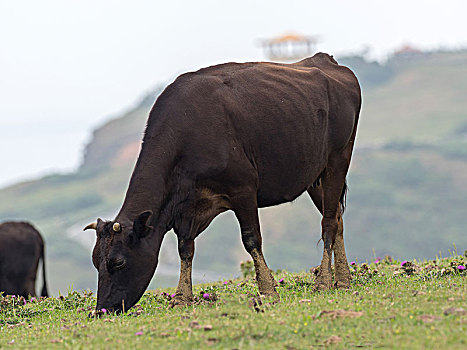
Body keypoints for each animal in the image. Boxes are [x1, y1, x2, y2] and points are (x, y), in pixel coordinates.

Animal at [84, 53, 362, 314]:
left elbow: (251, 240)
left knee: (328, 222)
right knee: (337, 218)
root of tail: (326, 60)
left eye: (118, 262)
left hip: (338, 158)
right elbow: (185, 248)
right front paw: (182, 298)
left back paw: (324, 282)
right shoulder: (190, 208)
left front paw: (268, 291)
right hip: (315, 176)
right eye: (96, 261)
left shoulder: (244, 190)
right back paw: (343, 280)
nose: (101, 310)